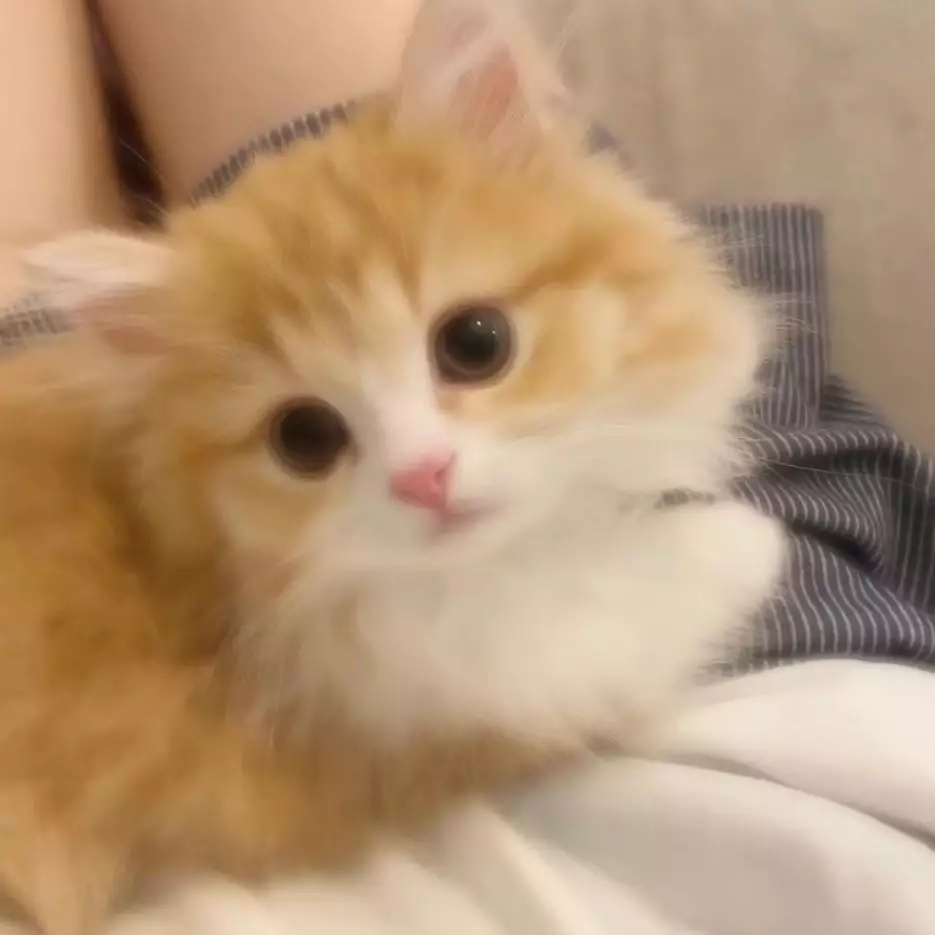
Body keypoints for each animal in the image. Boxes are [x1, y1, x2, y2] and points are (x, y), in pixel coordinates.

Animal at [0, 0, 783, 932]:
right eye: (304, 437)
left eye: (475, 342)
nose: (424, 475)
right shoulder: (435, 718)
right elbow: (650, 593)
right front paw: (746, 535)